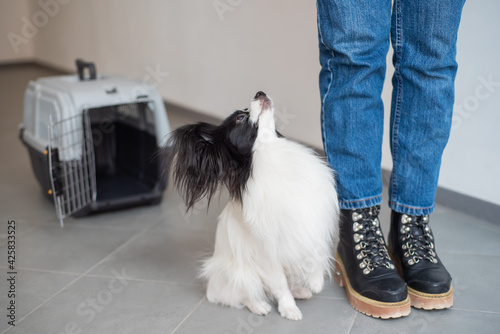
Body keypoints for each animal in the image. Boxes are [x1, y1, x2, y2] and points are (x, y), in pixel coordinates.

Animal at [164, 92, 340, 320]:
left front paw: (316, 282)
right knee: (244, 293)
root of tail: (211, 287)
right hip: (238, 273)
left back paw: (299, 290)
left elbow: (316, 254)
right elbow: (279, 285)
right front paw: (289, 308)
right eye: (240, 118)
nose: (259, 93)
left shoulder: (312, 226)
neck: (271, 152)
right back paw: (259, 305)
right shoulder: (268, 256)